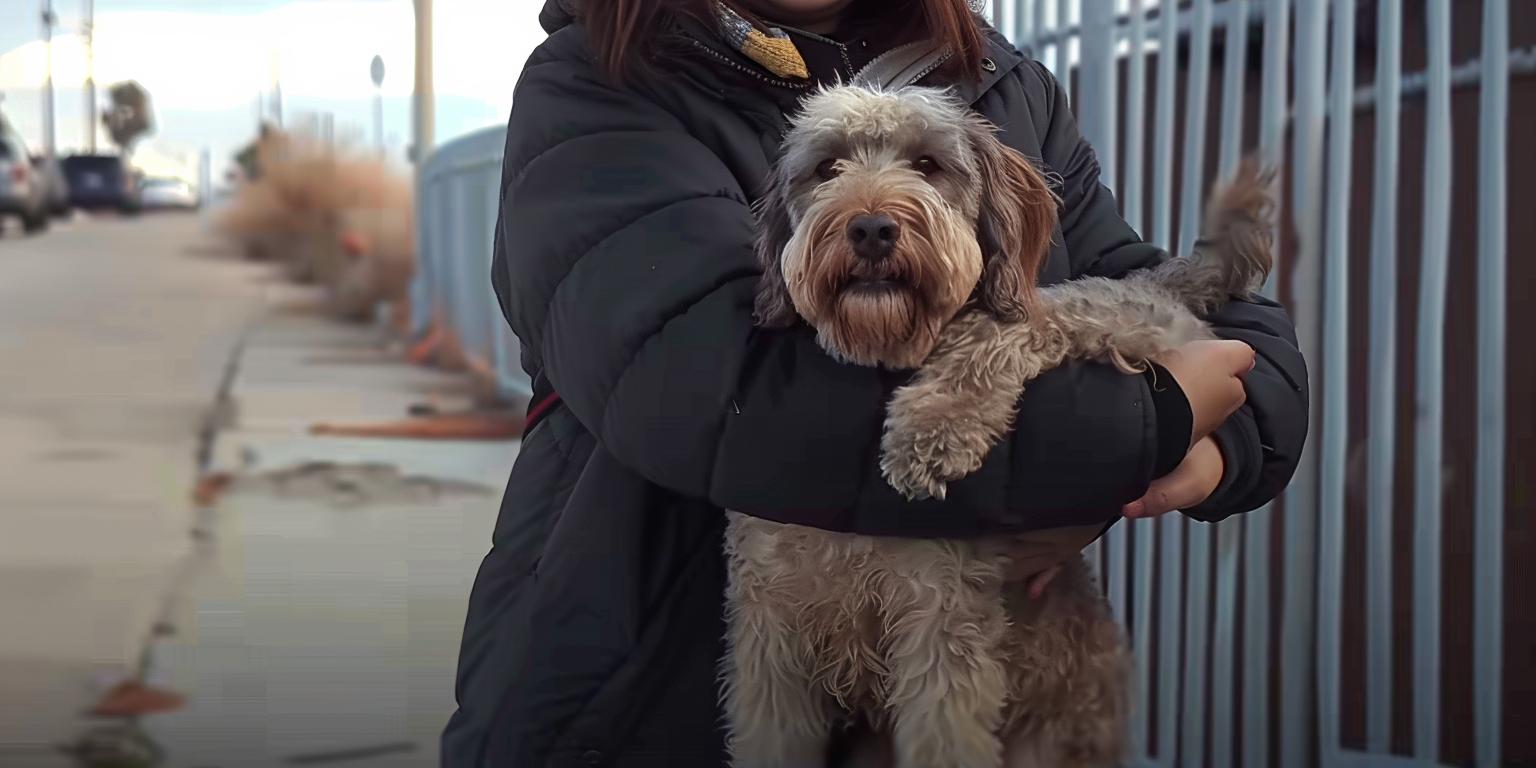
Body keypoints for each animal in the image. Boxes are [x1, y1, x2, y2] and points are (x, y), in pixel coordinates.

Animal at [724, 85, 1277, 768]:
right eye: (827, 168)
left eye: (929, 164)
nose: (872, 227)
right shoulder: (772, 634)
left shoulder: (939, 623)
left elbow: (988, 334)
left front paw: (928, 433)